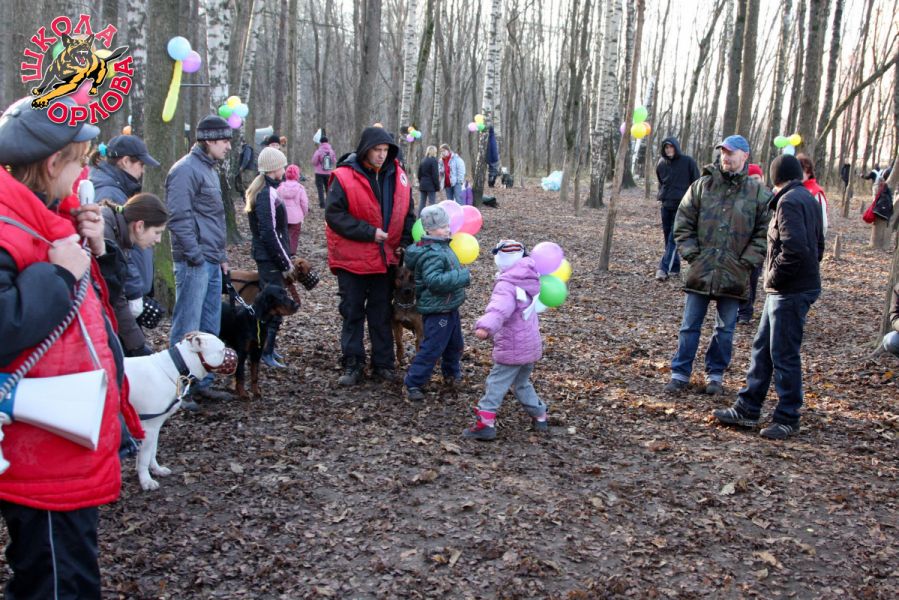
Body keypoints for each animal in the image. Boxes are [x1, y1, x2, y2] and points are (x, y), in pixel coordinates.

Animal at [124, 332, 237, 491]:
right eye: (221, 349)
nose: (236, 352)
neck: (176, 367)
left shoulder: (155, 427)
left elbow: (152, 451)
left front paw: (156, 469)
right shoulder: (149, 428)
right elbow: (145, 456)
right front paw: (146, 480)